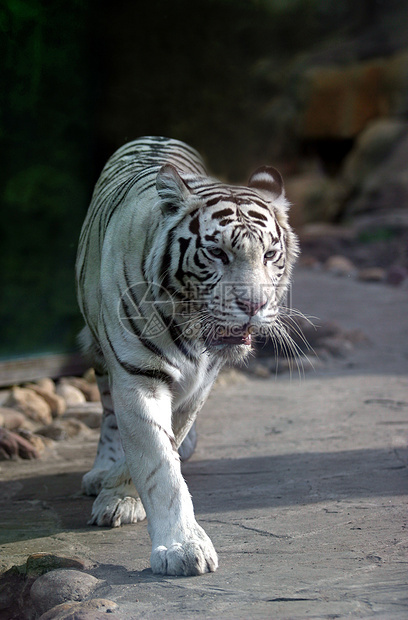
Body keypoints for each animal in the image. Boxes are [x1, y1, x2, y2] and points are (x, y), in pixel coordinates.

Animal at [75, 136, 300, 576]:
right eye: (217, 253)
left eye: (269, 255)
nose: (254, 305)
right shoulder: (137, 375)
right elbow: (159, 464)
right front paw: (181, 548)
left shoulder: (199, 384)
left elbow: (168, 442)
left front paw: (121, 494)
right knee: (107, 412)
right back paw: (100, 471)